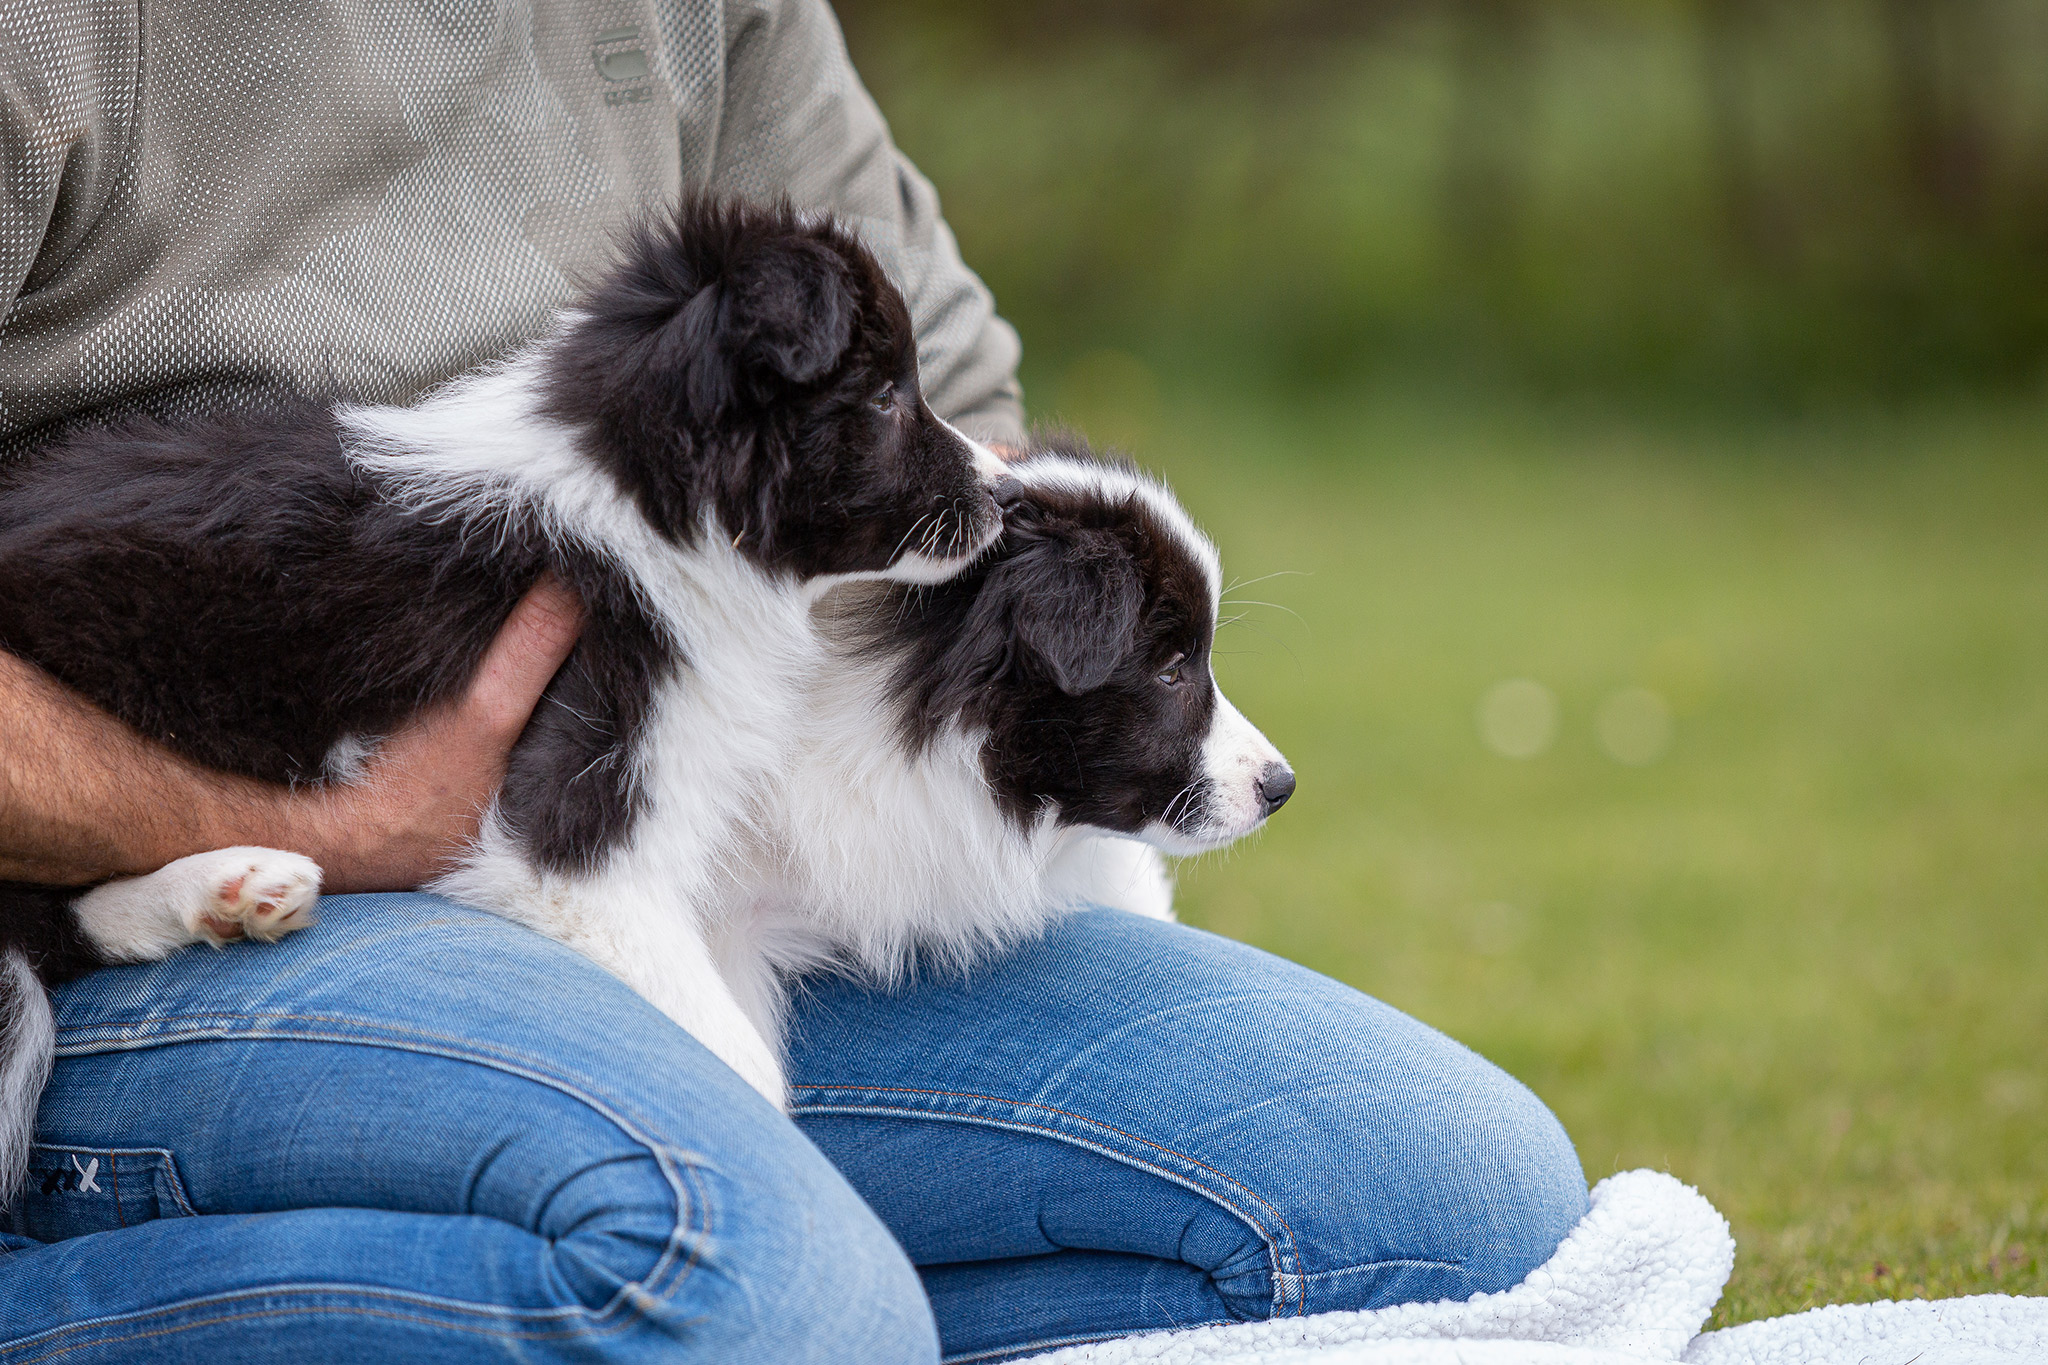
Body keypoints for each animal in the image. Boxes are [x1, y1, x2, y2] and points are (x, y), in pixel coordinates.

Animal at [0, 194, 999, 1195]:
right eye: (886, 398)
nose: (1003, 495)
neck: (644, 502)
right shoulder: (577, 832)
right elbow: (738, 1061)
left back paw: (228, 890)